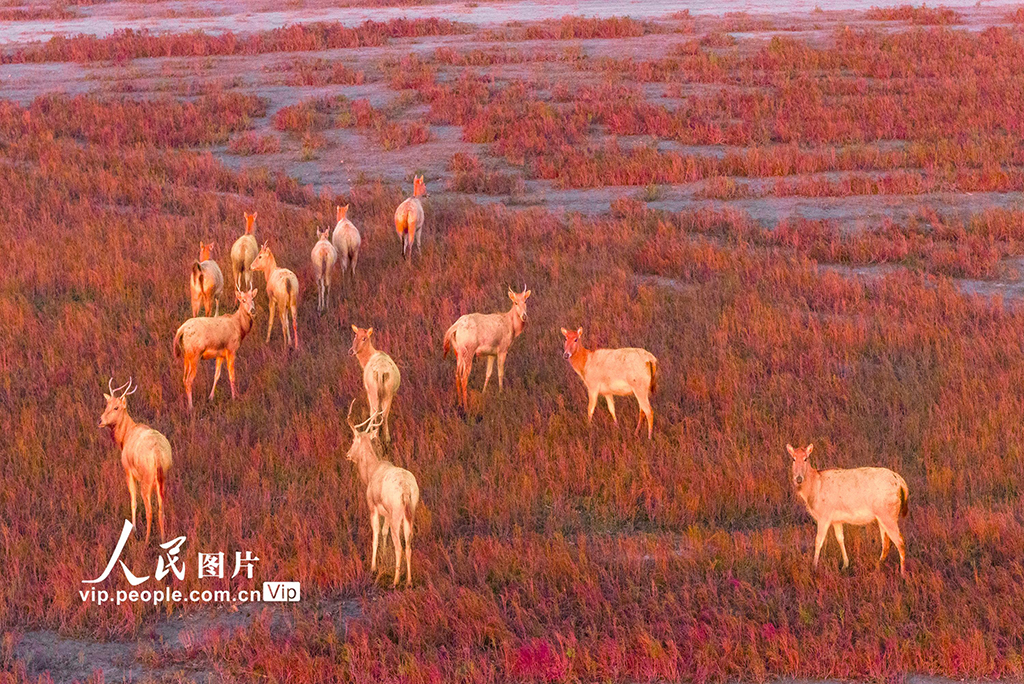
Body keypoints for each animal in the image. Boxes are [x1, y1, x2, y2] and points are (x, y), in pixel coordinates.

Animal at [98, 377, 172, 544]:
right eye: (107, 404)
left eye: (116, 407)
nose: (100, 421)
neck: (124, 438)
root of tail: (158, 454)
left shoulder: (128, 471)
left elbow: (133, 501)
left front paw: (134, 530)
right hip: (162, 478)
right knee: (161, 508)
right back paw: (163, 538)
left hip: (147, 479)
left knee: (149, 509)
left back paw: (146, 540)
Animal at [345, 400, 420, 588]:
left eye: (353, 439)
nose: (347, 454)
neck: (371, 472)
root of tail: (406, 489)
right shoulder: (386, 513)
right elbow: (384, 533)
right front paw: (384, 558)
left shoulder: (373, 507)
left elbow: (376, 534)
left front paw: (373, 567)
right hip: (409, 513)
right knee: (409, 544)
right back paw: (409, 581)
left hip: (396, 515)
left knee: (399, 546)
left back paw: (395, 581)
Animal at [788, 443, 909, 576]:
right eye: (793, 459)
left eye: (806, 458)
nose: (798, 478)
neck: (813, 490)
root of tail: (901, 482)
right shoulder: (836, 519)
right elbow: (840, 538)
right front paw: (845, 565)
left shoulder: (824, 515)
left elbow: (818, 541)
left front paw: (814, 567)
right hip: (882, 515)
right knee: (886, 543)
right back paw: (878, 565)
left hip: (888, 513)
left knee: (900, 541)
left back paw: (902, 573)